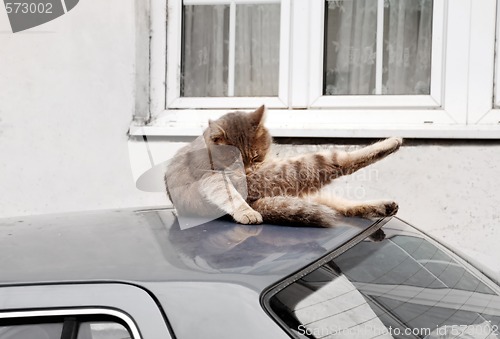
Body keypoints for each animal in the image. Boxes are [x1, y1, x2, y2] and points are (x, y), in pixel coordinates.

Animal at [164, 106, 402, 228]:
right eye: (236, 161)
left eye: (256, 157)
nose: (249, 172)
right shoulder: (210, 177)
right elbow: (227, 194)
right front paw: (245, 212)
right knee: (336, 161)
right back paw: (392, 142)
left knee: (339, 204)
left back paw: (381, 206)